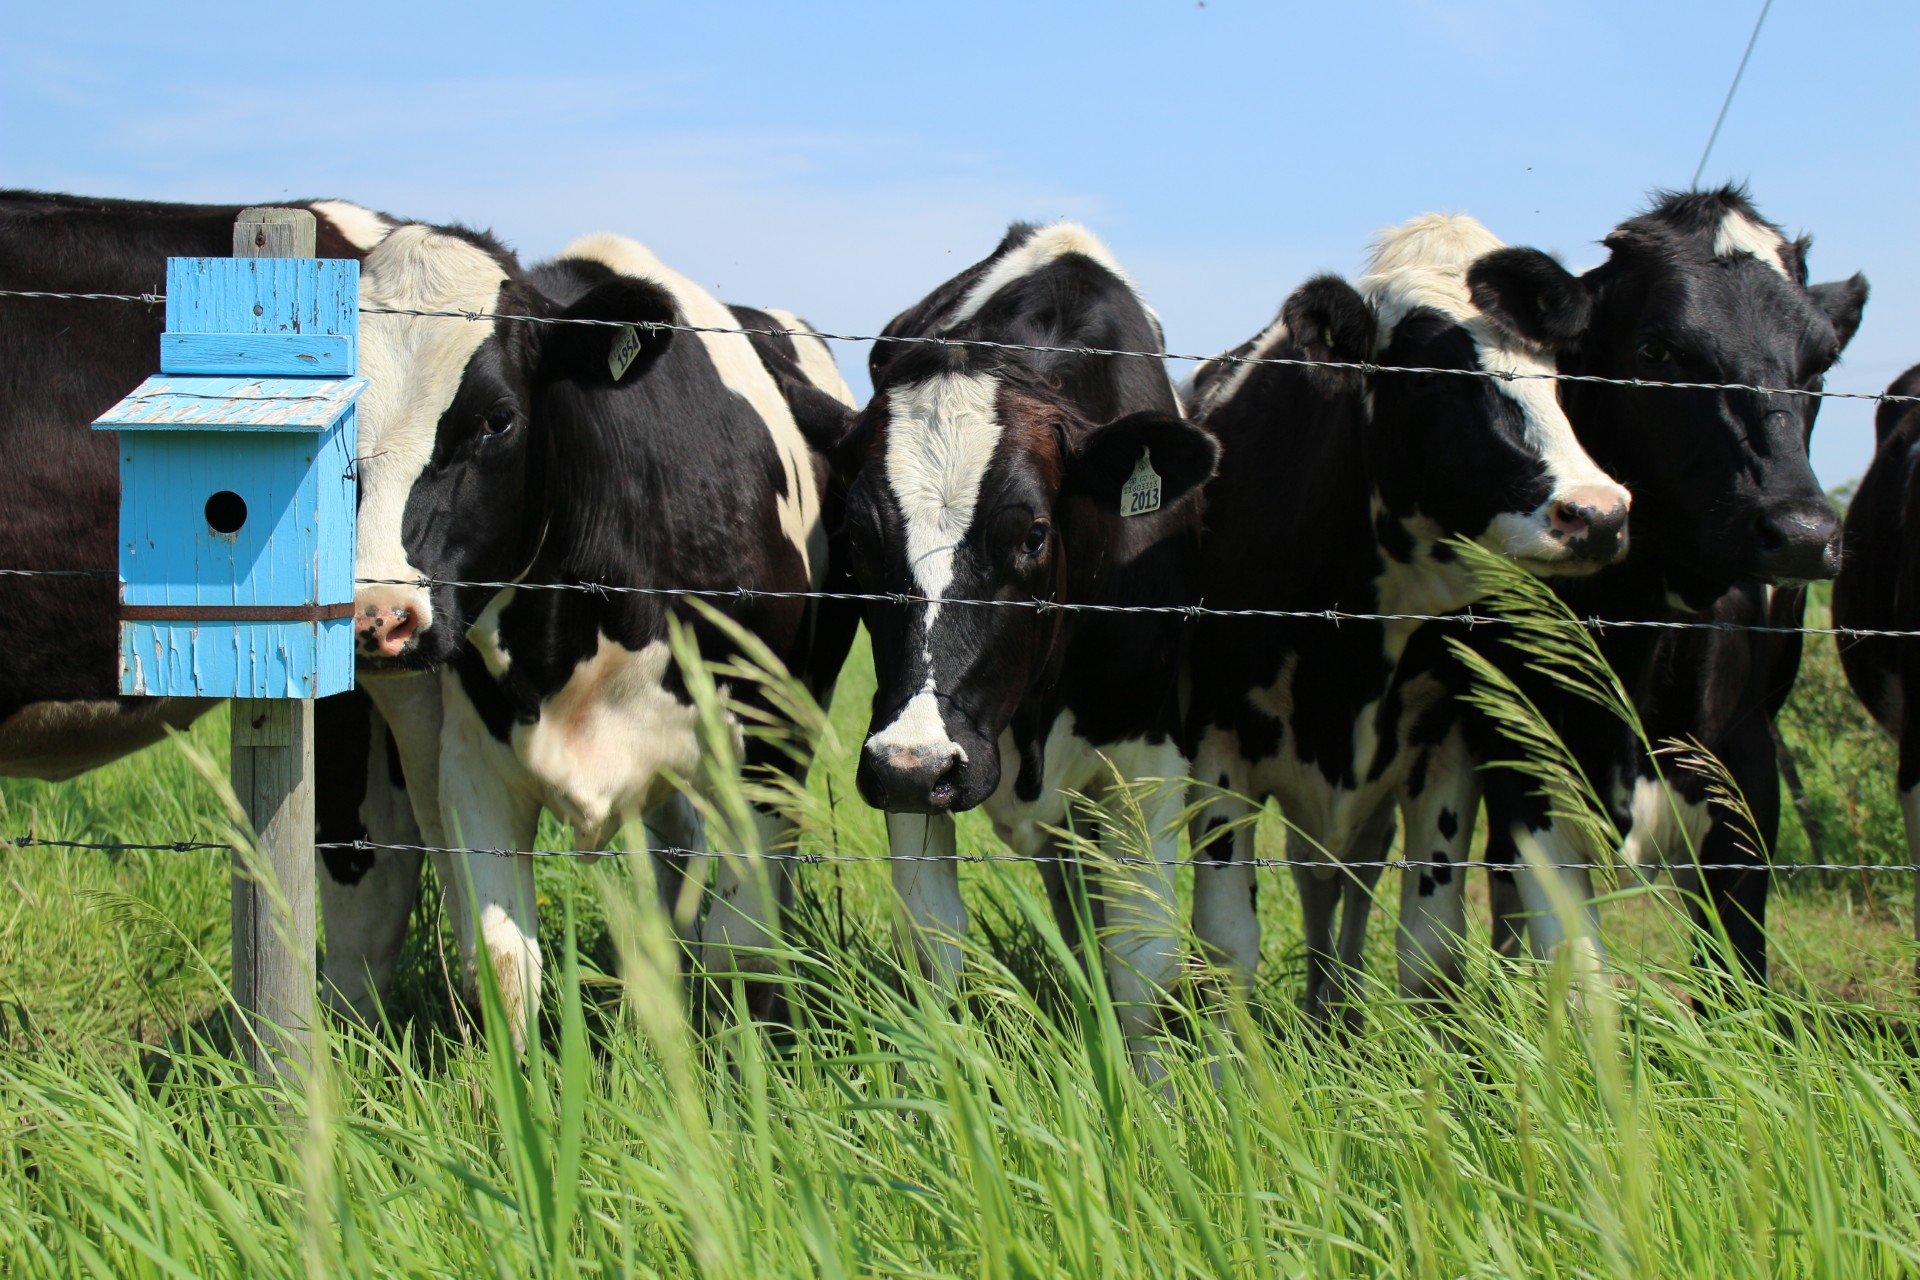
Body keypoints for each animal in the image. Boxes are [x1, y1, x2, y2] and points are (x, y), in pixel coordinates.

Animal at [341, 222, 860, 1043]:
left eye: (497, 418)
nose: (379, 619)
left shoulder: (761, 737)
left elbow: (742, 950)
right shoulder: (471, 763)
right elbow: (503, 963)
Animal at [825, 222, 1213, 1074]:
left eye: (1033, 533)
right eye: (858, 536)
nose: (918, 763)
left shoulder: (1150, 762)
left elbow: (1142, 960)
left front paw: (1150, 1094)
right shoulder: (904, 766)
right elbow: (932, 940)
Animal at [1190, 214, 1628, 1028]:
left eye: (1553, 370)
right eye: (1431, 372)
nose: (1598, 513)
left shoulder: (1446, 742)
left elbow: (1430, 953)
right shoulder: (1216, 736)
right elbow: (1227, 941)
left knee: (1346, 873)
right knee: (1318, 875)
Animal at [1459, 188, 1866, 982]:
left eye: (1820, 364)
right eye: (1656, 351)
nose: (1803, 532)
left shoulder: (1744, 777)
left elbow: (1735, 977)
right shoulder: (1529, 778)